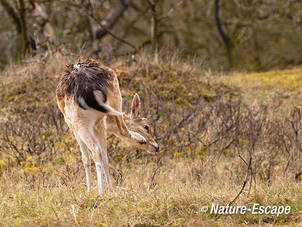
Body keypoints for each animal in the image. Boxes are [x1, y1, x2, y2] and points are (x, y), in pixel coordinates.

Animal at [57, 58, 160, 195]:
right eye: (146, 126)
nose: (157, 147)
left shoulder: (76, 126)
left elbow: (88, 157)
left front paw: (93, 190)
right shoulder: (98, 124)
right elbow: (102, 155)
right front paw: (109, 190)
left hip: (89, 114)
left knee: (100, 146)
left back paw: (100, 191)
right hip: (107, 102)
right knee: (105, 146)